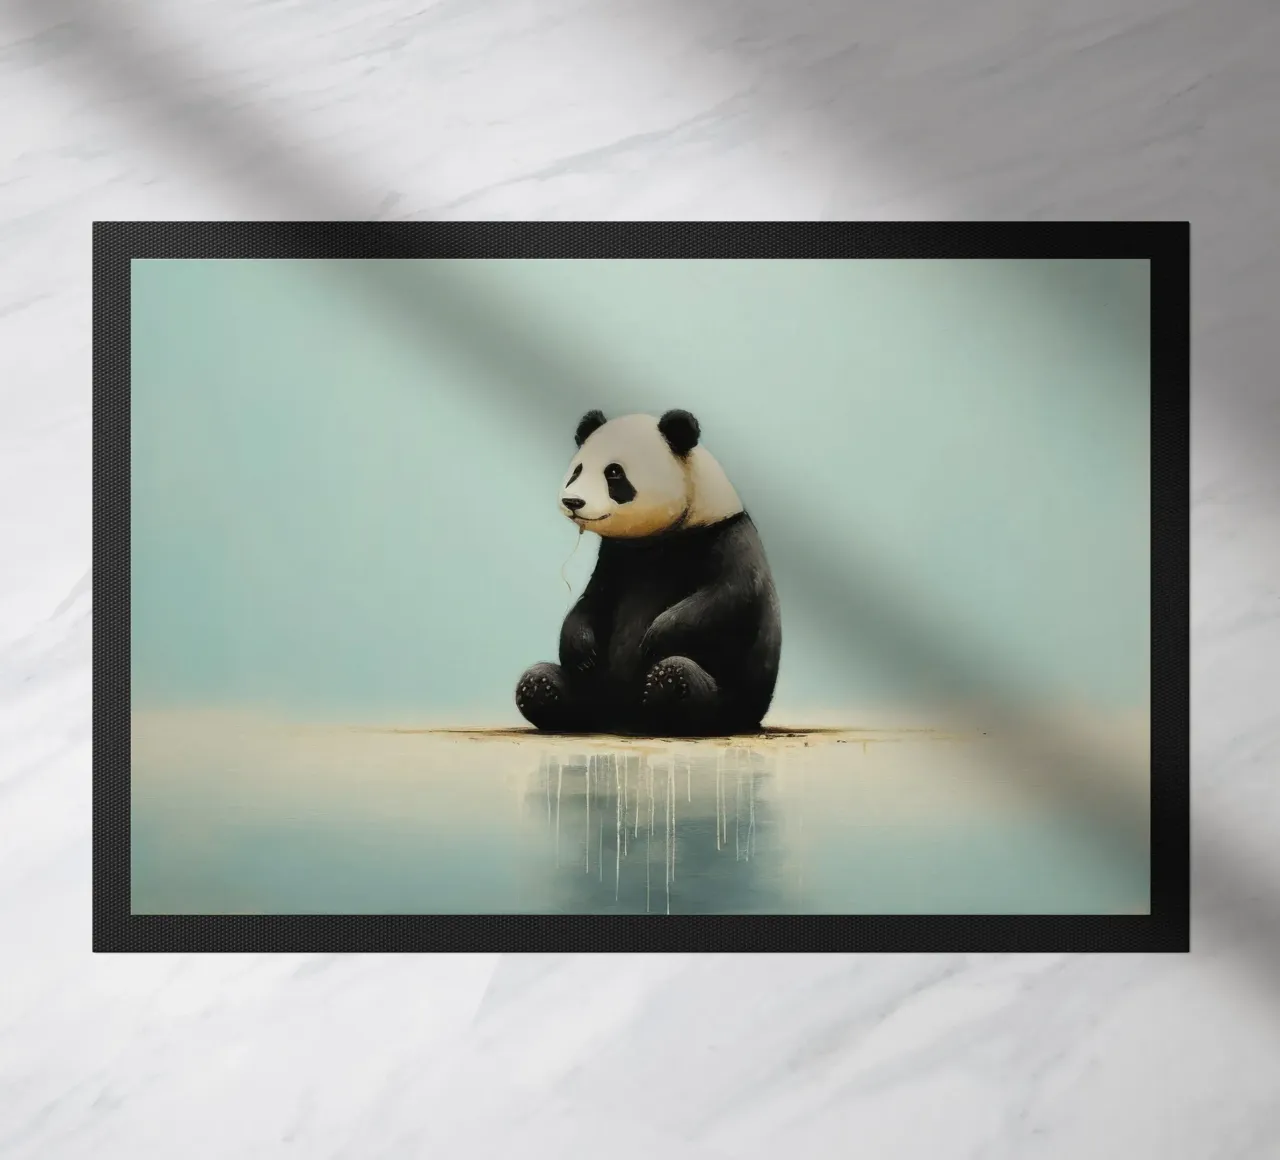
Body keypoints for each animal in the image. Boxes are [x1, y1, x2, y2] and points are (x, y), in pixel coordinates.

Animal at [515, 408, 782, 737]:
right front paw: (581, 650)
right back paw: (552, 699)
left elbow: (729, 596)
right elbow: (592, 600)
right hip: (591, 693)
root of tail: (618, 720)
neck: (657, 539)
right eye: (577, 469)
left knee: (680, 675)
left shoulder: (727, 536)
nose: (573, 501)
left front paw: (654, 639)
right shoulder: (615, 557)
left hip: (733, 699)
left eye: (614, 473)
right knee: (538, 679)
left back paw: (670, 713)